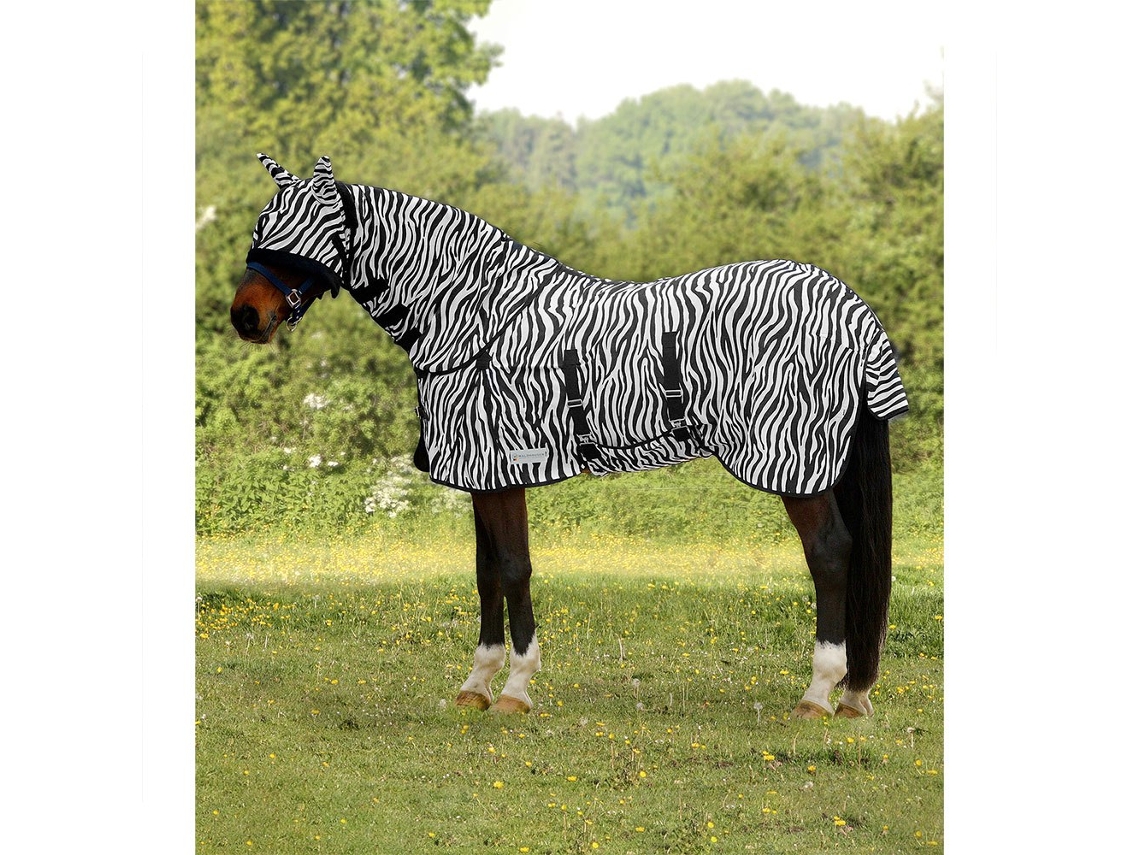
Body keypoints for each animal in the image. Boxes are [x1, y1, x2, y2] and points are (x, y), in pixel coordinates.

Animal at [232, 155, 909, 719]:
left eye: (311, 228)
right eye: (265, 220)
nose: (245, 315)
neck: (476, 316)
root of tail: (851, 308)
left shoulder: (501, 471)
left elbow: (513, 569)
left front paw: (514, 688)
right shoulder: (482, 476)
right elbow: (486, 572)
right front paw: (476, 685)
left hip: (797, 466)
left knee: (831, 556)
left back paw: (819, 693)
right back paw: (852, 695)